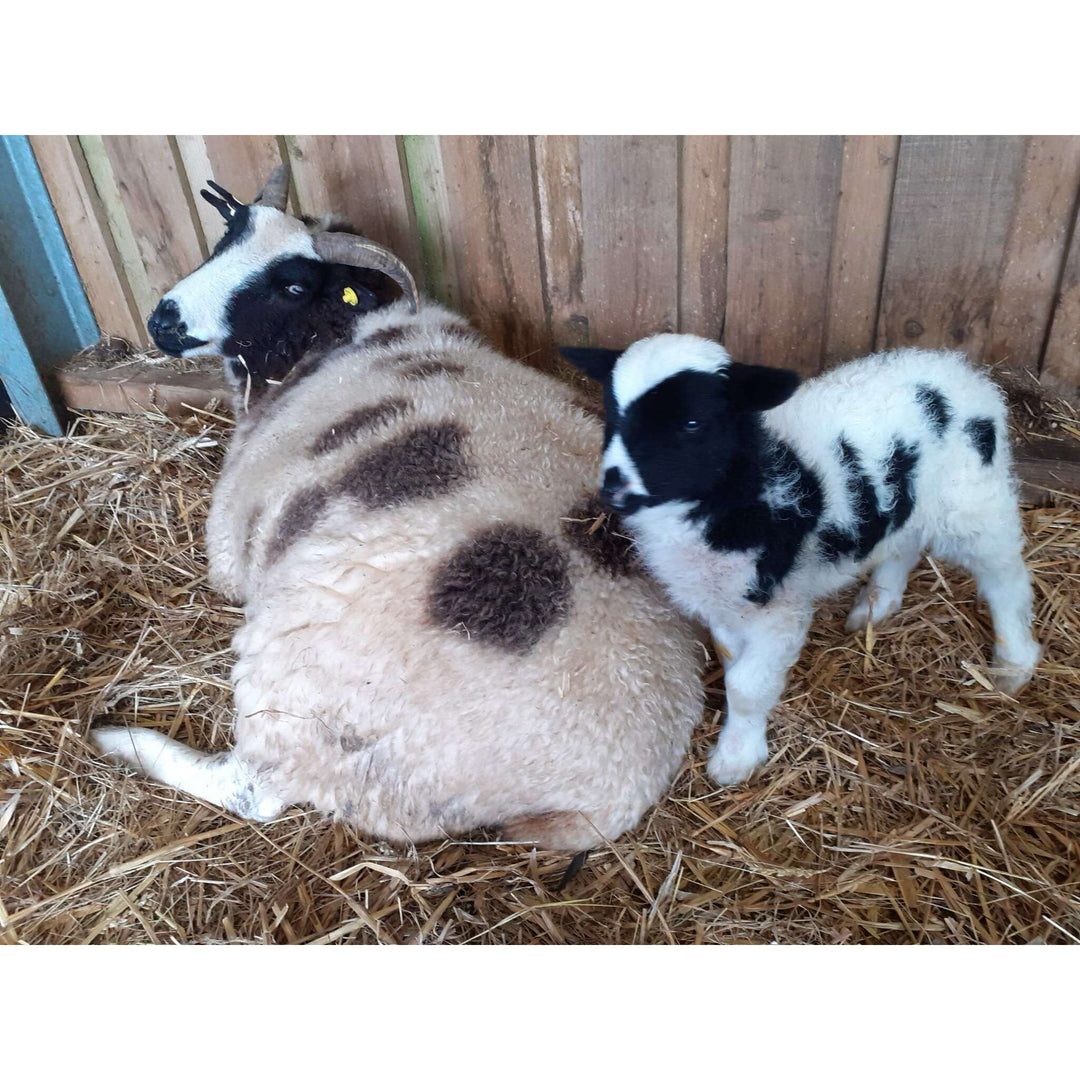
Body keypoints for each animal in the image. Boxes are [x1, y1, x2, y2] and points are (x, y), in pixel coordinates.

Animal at [91, 168, 704, 851]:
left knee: (254, 790)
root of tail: (606, 796)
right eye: (227, 236)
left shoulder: (229, 542)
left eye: (291, 283)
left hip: (303, 697)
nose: (164, 321)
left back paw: (121, 740)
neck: (345, 335)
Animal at [561, 335, 1042, 787]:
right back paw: (877, 604)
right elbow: (732, 662)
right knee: (903, 543)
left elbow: (746, 685)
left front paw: (736, 759)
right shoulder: (722, 599)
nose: (615, 488)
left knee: (1006, 578)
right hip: (909, 499)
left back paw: (1014, 662)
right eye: (614, 414)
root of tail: (962, 371)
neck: (741, 485)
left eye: (692, 422)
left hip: (973, 503)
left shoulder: (778, 607)